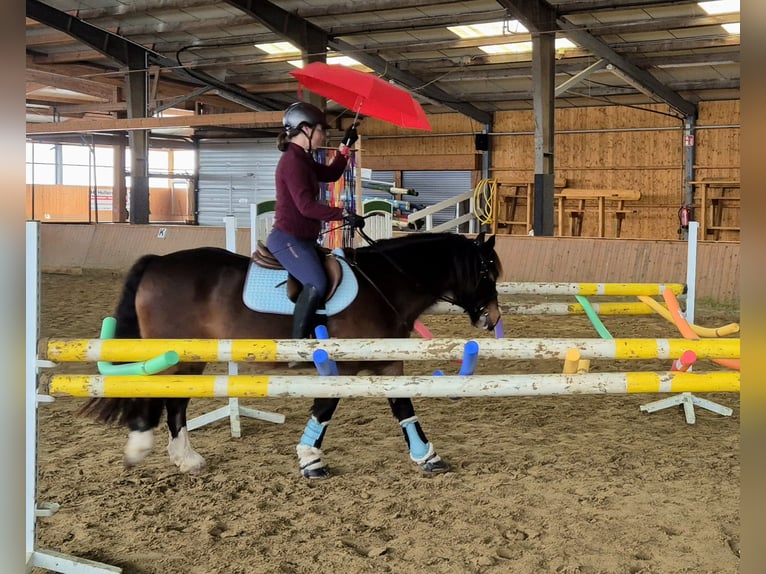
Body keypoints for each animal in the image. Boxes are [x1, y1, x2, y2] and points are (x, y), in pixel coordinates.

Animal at [79, 232, 502, 478]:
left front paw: (427, 456)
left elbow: (403, 406)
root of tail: (158, 261)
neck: (386, 282)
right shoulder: (340, 365)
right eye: (487, 272)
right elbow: (326, 407)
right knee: (158, 393)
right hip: (176, 353)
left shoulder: (386, 360)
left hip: (190, 357)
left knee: (177, 402)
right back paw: (142, 447)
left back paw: (186, 458)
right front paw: (310, 459)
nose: (493, 318)